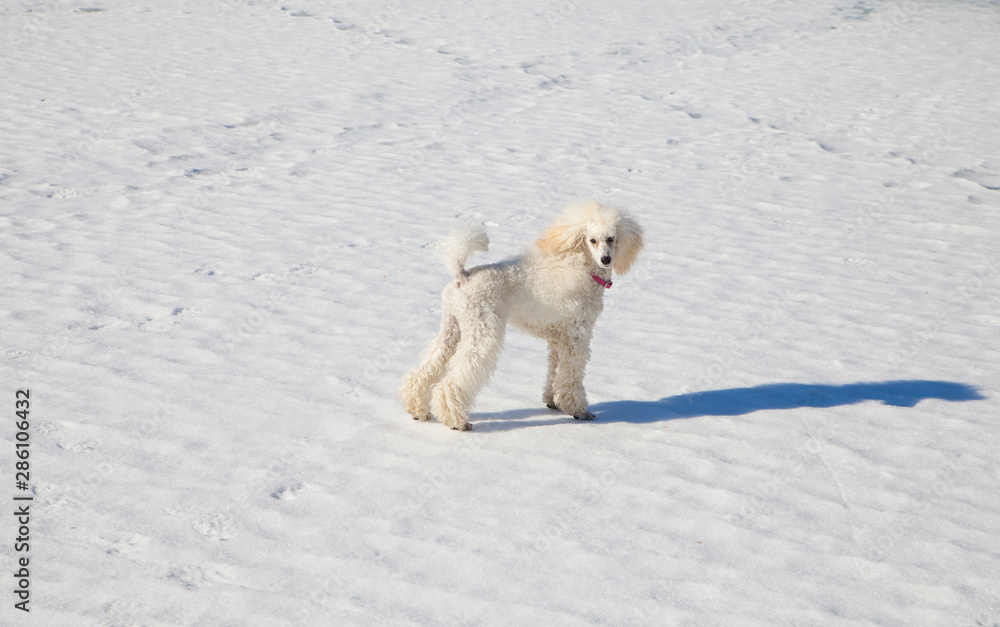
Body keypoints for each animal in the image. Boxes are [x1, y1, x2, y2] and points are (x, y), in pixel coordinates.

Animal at [394, 201, 644, 432]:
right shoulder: (576, 335)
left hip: (453, 327)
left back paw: (417, 409)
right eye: (592, 240)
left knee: (427, 367)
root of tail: (462, 276)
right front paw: (579, 410)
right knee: (453, 379)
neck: (582, 267)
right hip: (482, 329)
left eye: (611, 238)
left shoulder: (558, 337)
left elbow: (554, 369)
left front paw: (552, 402)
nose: (606, 260)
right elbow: (571, 374)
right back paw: (457, 421)